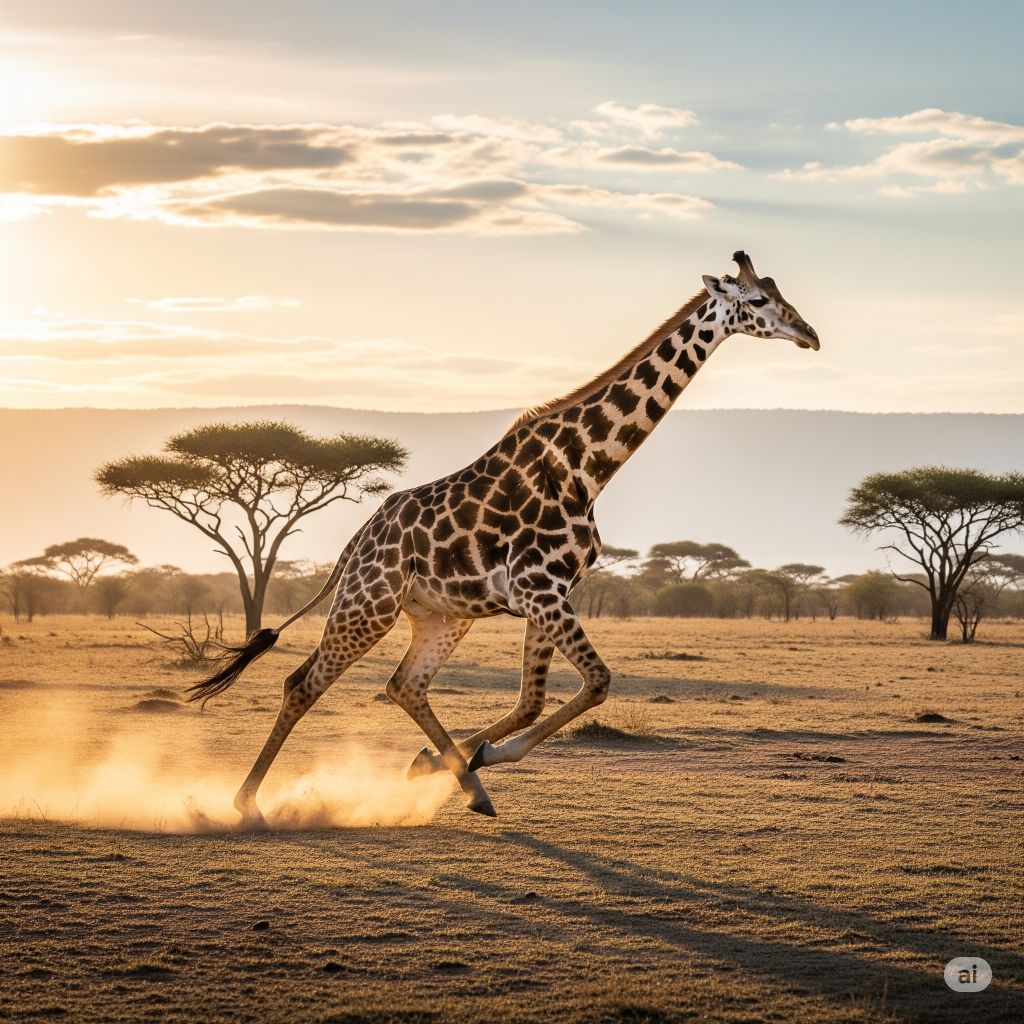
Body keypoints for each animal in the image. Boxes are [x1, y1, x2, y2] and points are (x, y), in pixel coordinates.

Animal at [188, 251, 819, 826]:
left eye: (777, 290)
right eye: (756, 300)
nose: (809, 335)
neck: (585, 467)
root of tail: (359, 539)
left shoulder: (550, 593)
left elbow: (535, 699)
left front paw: (453, 760)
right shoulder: (540, 590)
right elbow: (594, 683)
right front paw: (469, 758)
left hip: (442, 616)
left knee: (404, 686)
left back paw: (468, 787)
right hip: (369, 604)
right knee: (303, 683)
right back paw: (247, 805)